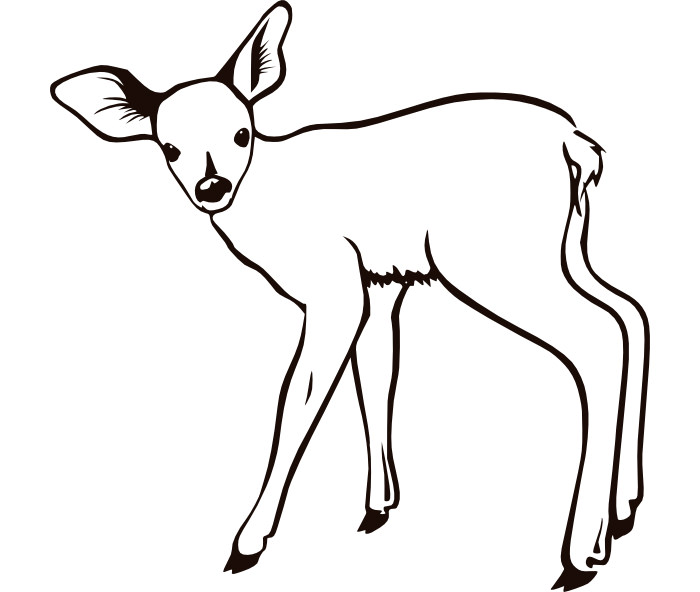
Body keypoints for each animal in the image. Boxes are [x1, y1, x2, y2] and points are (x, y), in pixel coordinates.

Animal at [50, 2, 649, 590]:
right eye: (169, 147)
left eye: (242, 133)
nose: (212, 187)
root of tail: (575, 144)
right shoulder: (380, 282)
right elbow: (377, 376)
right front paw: (378, 505)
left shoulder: (332, 285)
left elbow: (298, 397)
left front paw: (248, 542)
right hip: (565, 247)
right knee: (630, 313)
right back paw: (624, 509)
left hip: (495, 258)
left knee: (598, 336)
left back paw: (581, 553)